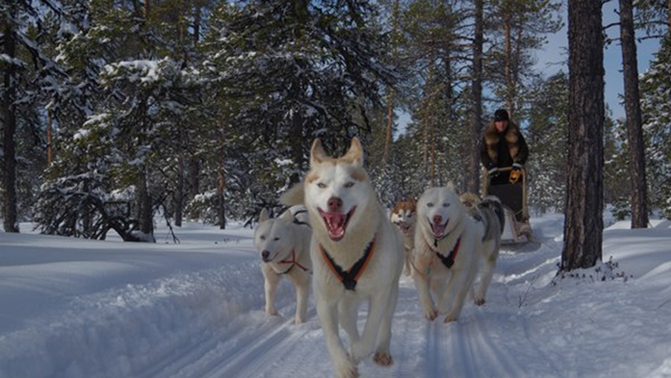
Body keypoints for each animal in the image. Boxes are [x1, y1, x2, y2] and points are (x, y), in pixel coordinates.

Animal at [282, 137, 404, 378]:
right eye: (321, 185)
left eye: (349, 184)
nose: (334, 202)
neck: (347, 253)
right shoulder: (325, 299)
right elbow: (332, 337)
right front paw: (343, 364)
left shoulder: (379, 293)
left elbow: (370, 332)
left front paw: (359, 351)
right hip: (346, 303)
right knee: (349, 322)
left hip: (391, 290)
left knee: (385, 322)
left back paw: (381, 351)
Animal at [412, 183, 486, 322]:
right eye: (430, 204)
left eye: (446, 204)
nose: (437, 217)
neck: (440, 245)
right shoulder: (420, 269)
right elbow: (424, 291)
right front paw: (430, 309)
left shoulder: (460, 271)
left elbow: (450, 290)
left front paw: (443, 306)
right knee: (438, 287)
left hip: (468, 272)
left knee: (459, 296)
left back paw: (452, 315)